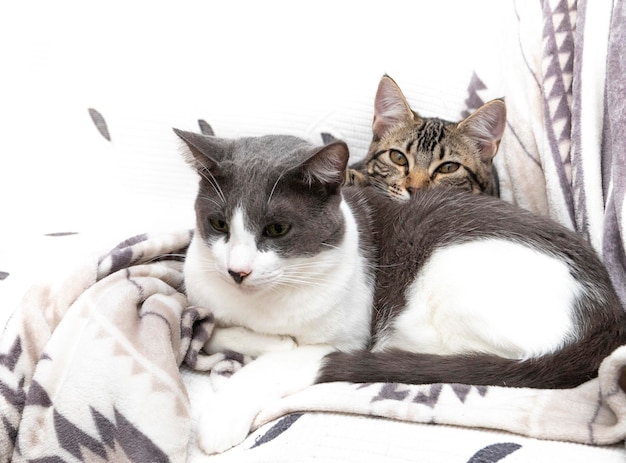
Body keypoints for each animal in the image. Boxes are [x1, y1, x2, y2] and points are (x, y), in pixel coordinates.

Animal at [173, 129, 624, 454]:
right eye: (218, 223)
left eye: (277, 229)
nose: (238, 271)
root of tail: (610, 315)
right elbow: (216, 325)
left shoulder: (350, 336)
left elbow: (283, 357)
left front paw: (224, 412)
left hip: (448, 279)